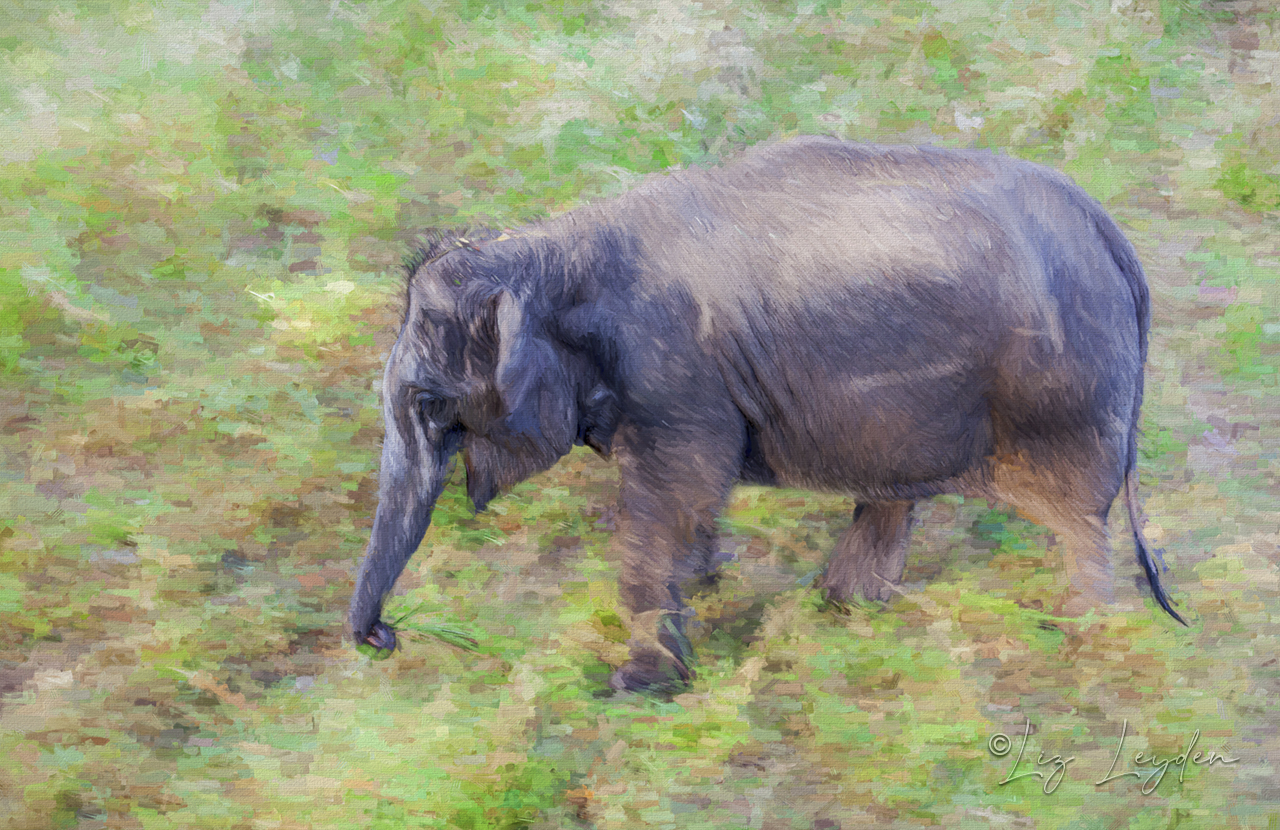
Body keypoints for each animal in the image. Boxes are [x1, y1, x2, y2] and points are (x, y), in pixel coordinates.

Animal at [345, 136, 1182, 691]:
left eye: (429, 404)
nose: (383, 637)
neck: (549, 250)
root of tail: (1113, 234)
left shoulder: (674, 372)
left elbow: (670, 498)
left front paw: (636, 688)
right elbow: (689, 502)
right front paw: (709, 593)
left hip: (1060, 389)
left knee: (1077, 518)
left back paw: (1077, 643)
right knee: (892, 498)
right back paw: (838, 609)